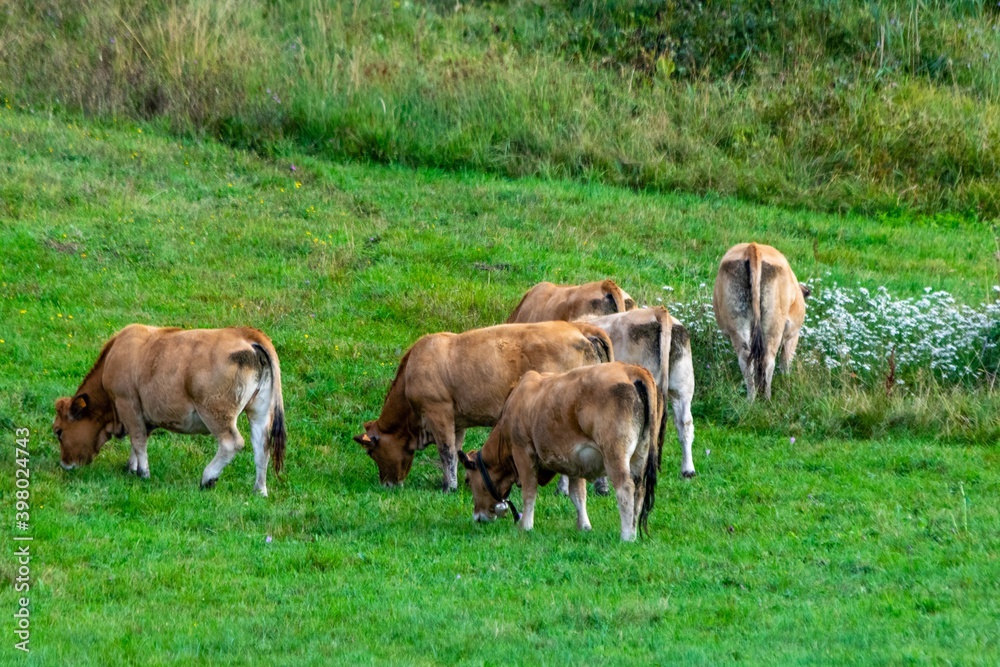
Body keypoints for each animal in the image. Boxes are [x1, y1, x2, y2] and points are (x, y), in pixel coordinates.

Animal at [53, 326, 286, 498]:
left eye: (59, 432)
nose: (65, 464)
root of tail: (245, 333)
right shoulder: (143, 414)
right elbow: (139, 440)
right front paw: (132, 468)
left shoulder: (127, 402)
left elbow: (137, 439)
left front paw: (143, 473)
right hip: (259, 411)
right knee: (261, 446)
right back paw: (259, 490)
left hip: (216, 413)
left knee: (232, 443)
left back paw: (208, 478)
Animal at [356, 320, 612, 494]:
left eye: (371, 452)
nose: (386, 484)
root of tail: (578, 328)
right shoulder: (456, 420)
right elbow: (454, 448)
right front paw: (450, 482)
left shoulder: (437, 411)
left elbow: (446, 451)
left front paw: (449, 487)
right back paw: (600, 488)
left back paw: (563, 489)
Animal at [460, 362, 664, 540]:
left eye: (468, 480)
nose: (477, 517)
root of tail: (631, 369)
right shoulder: (576, 460)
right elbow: (578, 495)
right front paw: (584, 526)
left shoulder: (523, 451)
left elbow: (529, 491)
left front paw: (525, 525)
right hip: (640, 454)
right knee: (639, 489)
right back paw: (634, 532)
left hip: (615, 453)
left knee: (626, 488)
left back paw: (627, 536)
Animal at [712, 245, 812, 402]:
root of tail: (753, 247)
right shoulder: (793, 334)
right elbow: (786, 360)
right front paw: (786, 379)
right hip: (774, 328)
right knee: (768, 361)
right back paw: (766, 398)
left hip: (738, 324)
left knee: (747, 360)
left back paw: (751, 399)